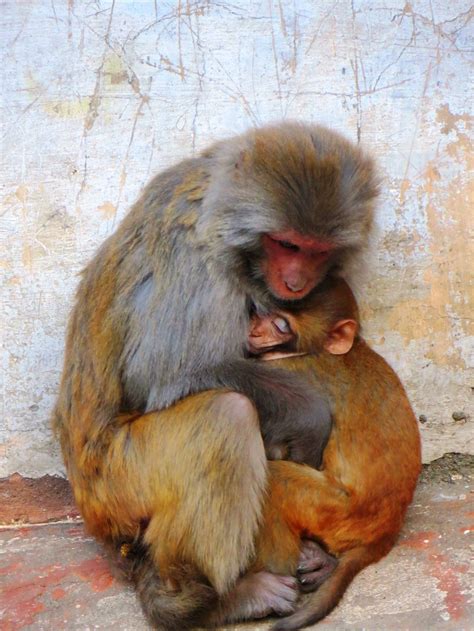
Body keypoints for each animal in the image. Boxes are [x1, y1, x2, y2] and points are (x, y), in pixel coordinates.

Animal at [52, 121, 378, 628]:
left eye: (317, 250)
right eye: (287, 244)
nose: (296, 281)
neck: (221, 214)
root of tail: (93, 514)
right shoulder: (197, 262)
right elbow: (163, 373)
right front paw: (309, 414)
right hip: (119, 483)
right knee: (225, 415)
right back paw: (217, 600)